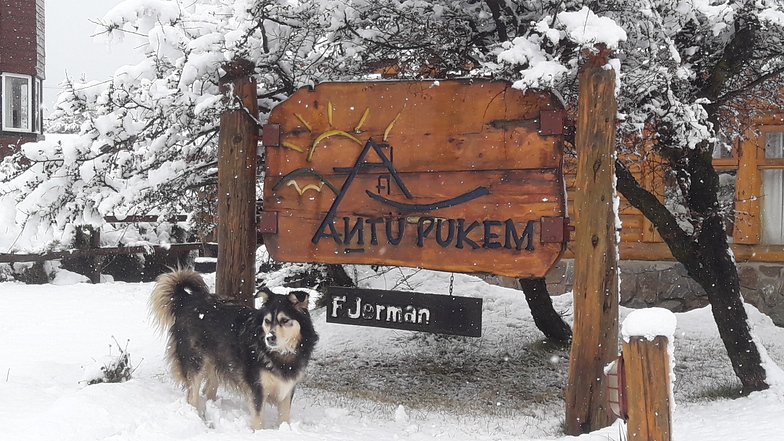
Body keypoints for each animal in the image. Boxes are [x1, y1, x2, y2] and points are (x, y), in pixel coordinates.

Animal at [149, 270, 316, 428]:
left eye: (285, 320)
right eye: (267, 321)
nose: (270, 338)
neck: (281, 354)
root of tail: (188, 300)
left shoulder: (287, 389)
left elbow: (284, 418)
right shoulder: (257, 388)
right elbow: (258, 420)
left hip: (217, 361)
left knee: (207, 390)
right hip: (195, 361)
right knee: (192, 395)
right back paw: (197, 417)